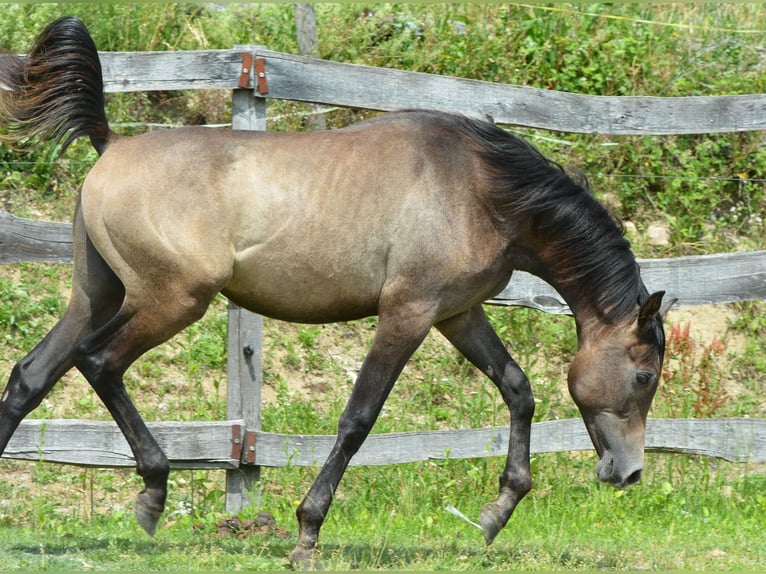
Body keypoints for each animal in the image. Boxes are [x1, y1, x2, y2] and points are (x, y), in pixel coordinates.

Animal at [0, 17, 670, 568]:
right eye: (644, 376)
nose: (631, 472)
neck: (479, 188)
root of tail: (112, 144)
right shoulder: (407, 313)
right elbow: (358, 419)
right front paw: (306, 532)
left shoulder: (457, 313)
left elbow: (518, 389)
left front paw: (495, 515)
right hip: (172, 300)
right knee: (97, 361)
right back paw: (153, 493)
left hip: (98, 295)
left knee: (30, 376)